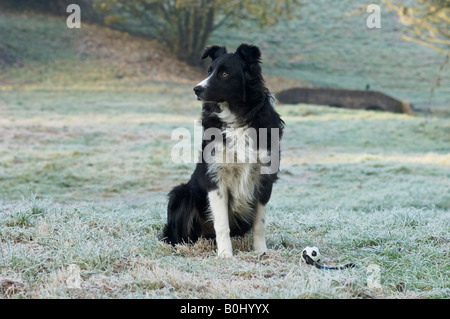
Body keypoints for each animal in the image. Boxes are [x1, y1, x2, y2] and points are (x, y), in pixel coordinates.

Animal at [163, 43, 284, 258]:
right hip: (182, 193)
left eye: (225, 73)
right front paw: (225, 255)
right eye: (209, 71)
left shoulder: (264, 178)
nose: (196, 89)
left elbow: (259, 223)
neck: (237, 117)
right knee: (179, 235)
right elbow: (221, 223)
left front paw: (261, 251)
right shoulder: (216, 178)